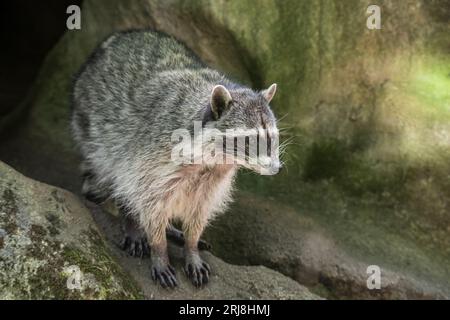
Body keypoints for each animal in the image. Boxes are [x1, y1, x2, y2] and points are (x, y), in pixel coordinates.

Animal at [70, 30, 282, 288]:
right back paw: (131, 219)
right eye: (250, 139)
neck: (216, 161)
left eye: (272, 137)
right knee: (119, 176)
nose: (275, 168)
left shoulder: (213, 181)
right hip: (95, 128)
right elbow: (148, 200)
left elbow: (199, 212)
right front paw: (158, 249)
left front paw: (191, 246)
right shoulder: (153, 157)